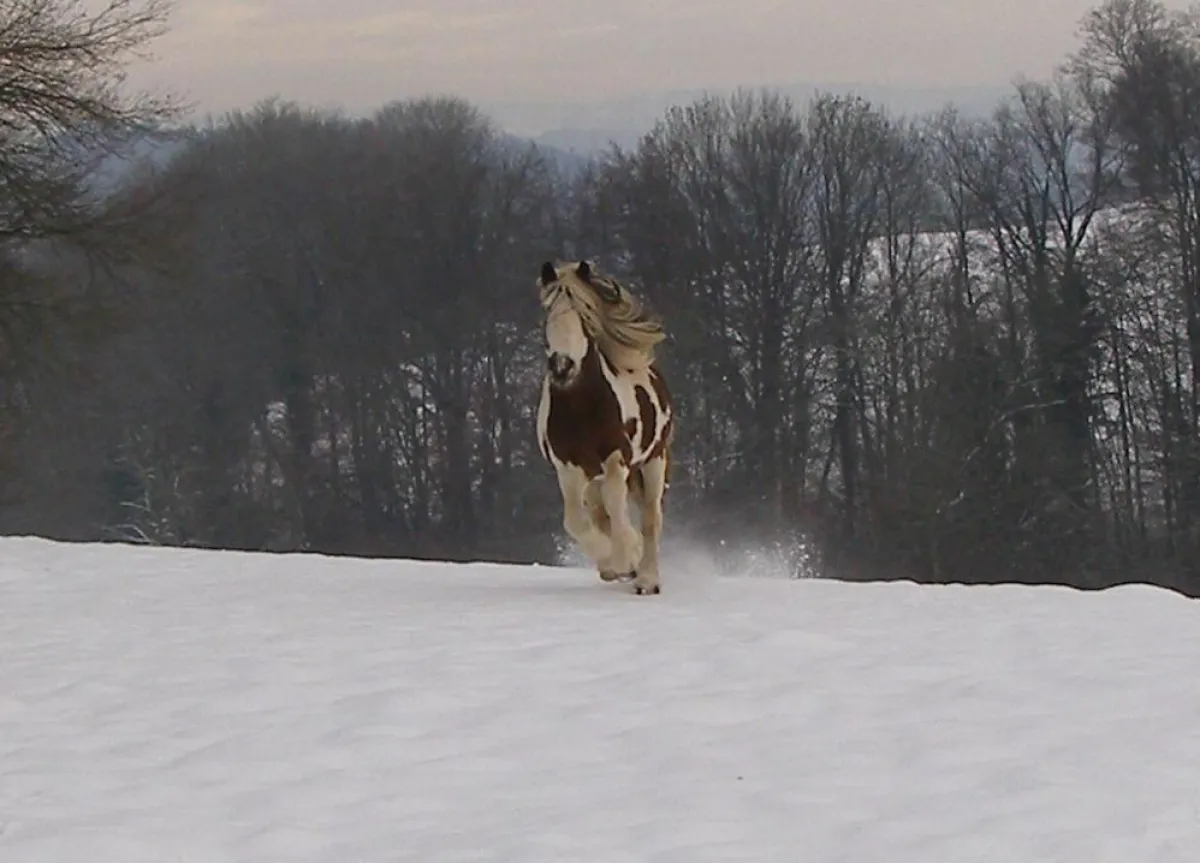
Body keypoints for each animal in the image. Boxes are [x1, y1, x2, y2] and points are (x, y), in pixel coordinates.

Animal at [535, 259, 675, 596]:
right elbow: (576, 520)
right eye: (549, 312)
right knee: (600, 513)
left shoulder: (616, 458)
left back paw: (647, 578)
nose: (562, 367)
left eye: (585, 313)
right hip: (593, 475)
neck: (582, 409)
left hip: (654, 461)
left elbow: (618, 506)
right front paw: (614, 562)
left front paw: (628, 556)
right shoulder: (568, 466)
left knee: (650, 517)